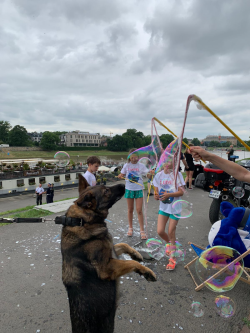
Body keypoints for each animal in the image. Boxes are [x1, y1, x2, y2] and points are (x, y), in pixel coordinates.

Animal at [60, 175, 156, 330]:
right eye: (106, 191)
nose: (124, 185)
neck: (83, 221)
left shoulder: (112, 252)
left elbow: (123, 245)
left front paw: (136, 254)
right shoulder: (106, 268)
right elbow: (131, 262)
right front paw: (146, 271)